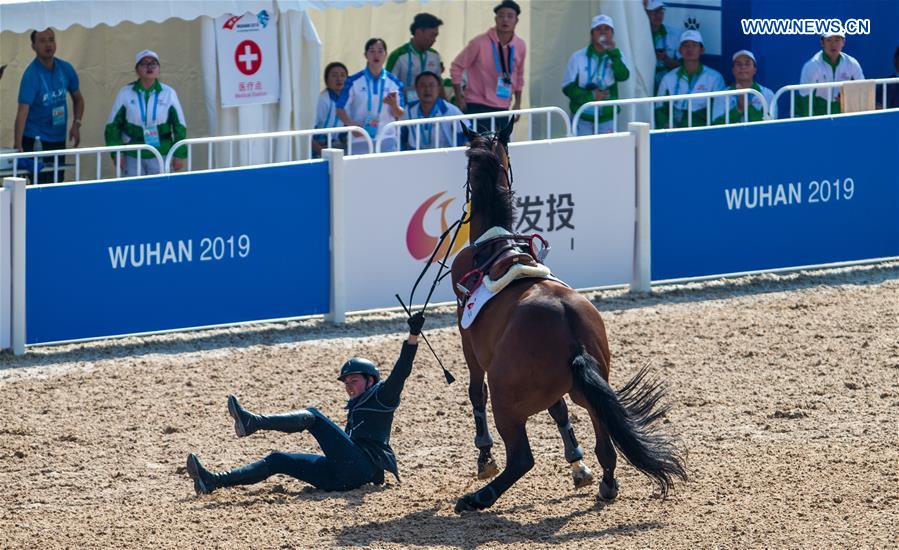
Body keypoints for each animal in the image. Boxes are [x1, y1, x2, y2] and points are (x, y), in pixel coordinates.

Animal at [450, 124, 688, 512]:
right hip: (584, 388)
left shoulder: (468, 343)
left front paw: (485, 457)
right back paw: (606, 484)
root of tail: (570, 330)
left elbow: (475, 393)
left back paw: (478, 498)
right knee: (604, 443)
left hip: (508, 401)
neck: (495, 246)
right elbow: (560, 412)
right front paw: (577, 464)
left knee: (522, 458)